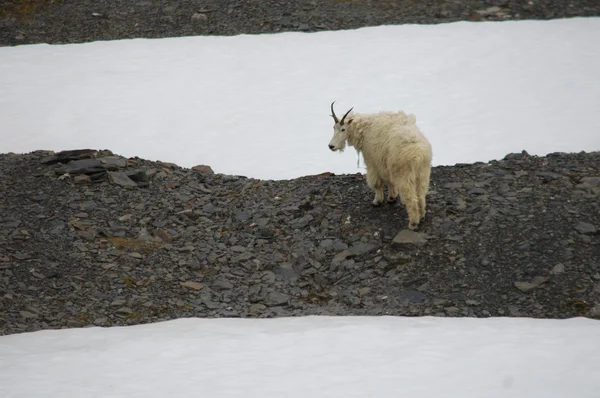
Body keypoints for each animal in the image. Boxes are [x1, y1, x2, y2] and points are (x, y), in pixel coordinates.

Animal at [328, 101, 432, 229]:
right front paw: (391, 198)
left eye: (343, 129)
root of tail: (418, 155)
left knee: (411, 199)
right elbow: (389, 182)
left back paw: (413, 223)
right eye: (334, 127)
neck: (364, 130)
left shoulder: (373, 162)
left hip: (404, 175)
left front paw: (377, 201)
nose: (331, 146)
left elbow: (377, 183)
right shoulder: (385, 164)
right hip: (423, 173)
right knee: (421, 195)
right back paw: (421, 216)